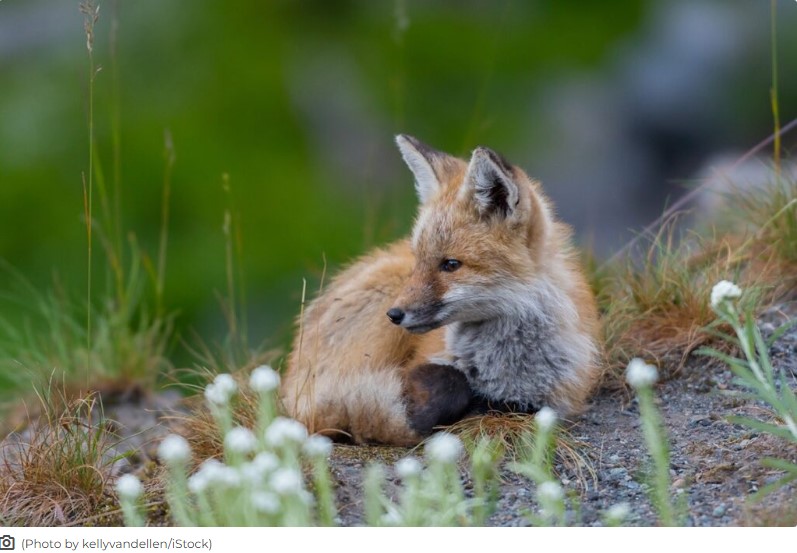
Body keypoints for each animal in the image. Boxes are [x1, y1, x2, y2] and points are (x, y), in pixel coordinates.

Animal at [281, 135, 601, 446]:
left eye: (450, 264)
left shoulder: (553, 399)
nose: (394, 314)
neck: (501, 364)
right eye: (419, 260)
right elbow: (445, 385)